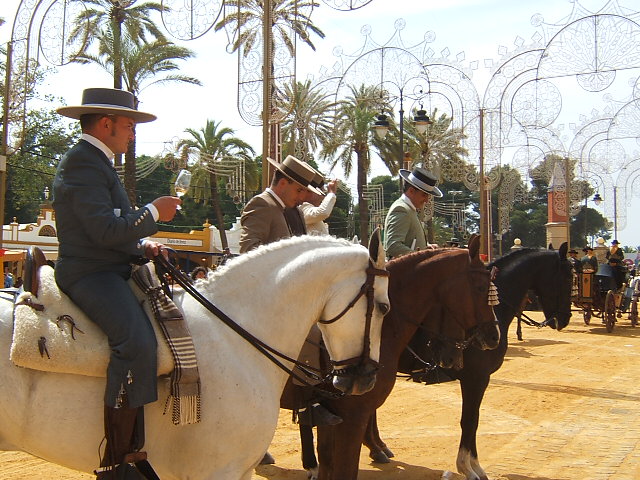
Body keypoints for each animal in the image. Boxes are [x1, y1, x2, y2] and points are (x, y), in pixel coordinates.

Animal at [362, 244, 572, 480]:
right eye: (568, 278)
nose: (565, 318)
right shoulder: (476, 378)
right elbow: (470, 420)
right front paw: (469, 466)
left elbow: (474, 419)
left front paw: (473, 465)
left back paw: (377, 446)